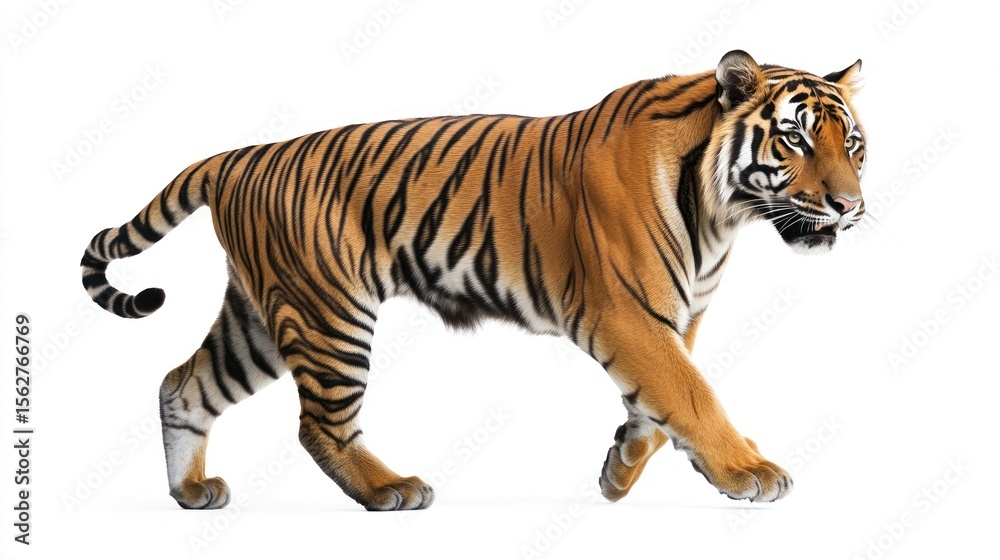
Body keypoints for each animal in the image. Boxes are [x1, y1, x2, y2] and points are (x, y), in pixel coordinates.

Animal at [80, 50, 865, 510]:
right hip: (329, 313)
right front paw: (747, 471)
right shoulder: (628, 313)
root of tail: (238, 156)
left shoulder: (677, 316)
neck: (722, 212)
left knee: (182, 385)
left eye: (852, 143)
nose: (849, 206)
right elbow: (693, 395)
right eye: (794, 138)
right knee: (317, 425)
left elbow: (663, 405)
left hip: (260, 317)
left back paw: (190, 491)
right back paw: (389, 489)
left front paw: (619, 472)